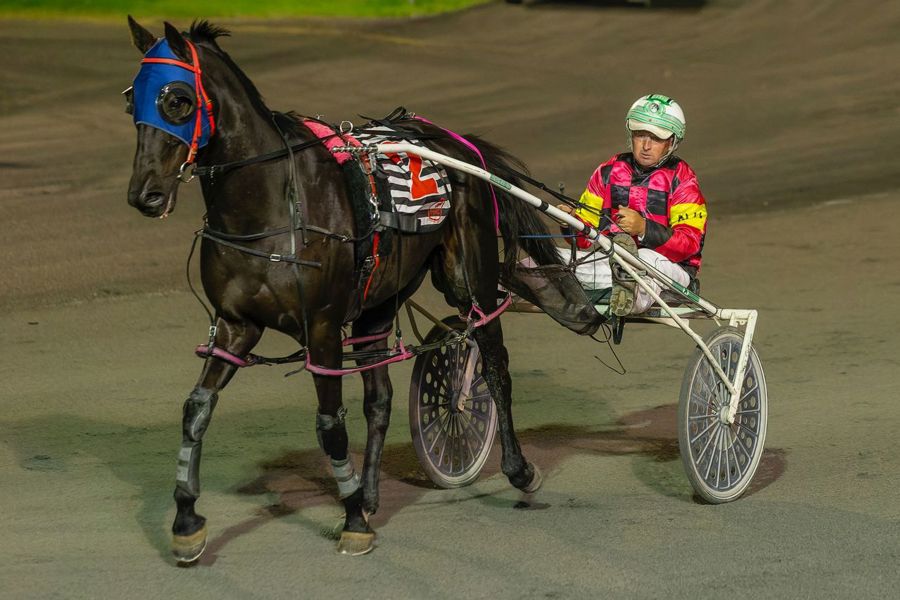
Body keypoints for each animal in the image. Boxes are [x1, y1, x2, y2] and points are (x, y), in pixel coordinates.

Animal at [124, 17, 565, 563]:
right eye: (131, 100)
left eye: (178, 101)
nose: (145, 194)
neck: (272, 205)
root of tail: (456, 142)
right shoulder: (235, 325)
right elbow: (195, 410)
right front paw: (187, 522)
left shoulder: (322, 327)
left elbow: (330, 424)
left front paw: (353, 519)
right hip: (378, 302)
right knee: (380, 398)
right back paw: (371, 494)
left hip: (470, 276)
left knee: (493, 361)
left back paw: (518, 470)